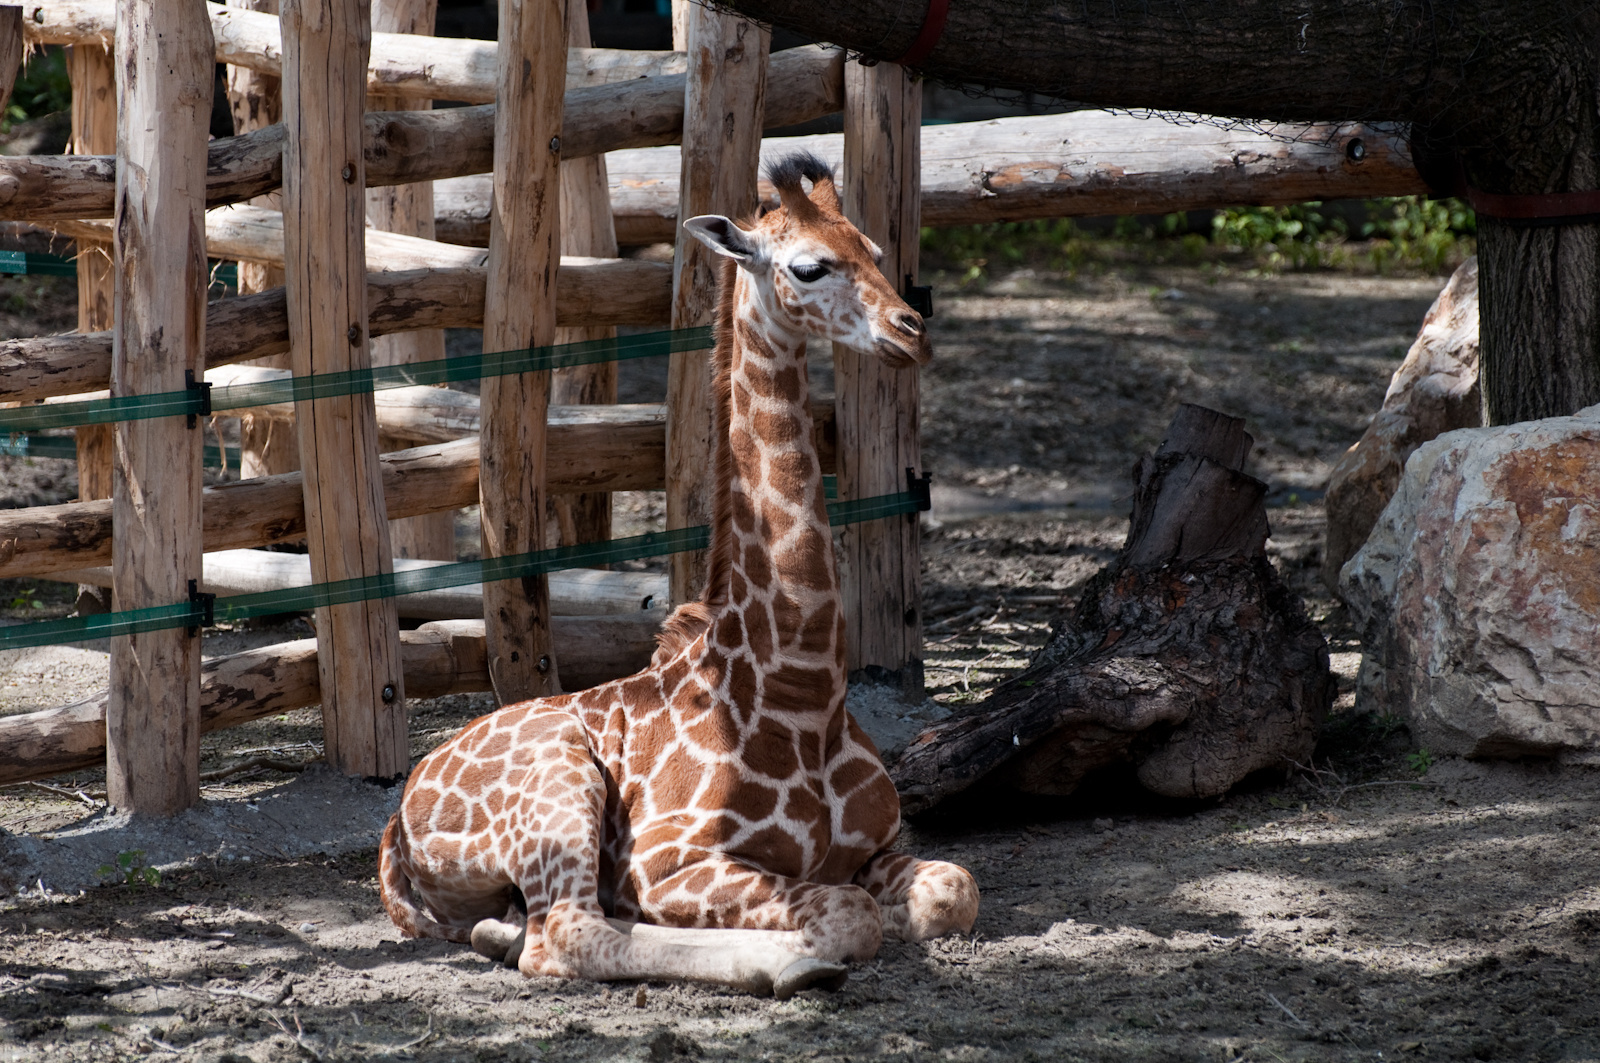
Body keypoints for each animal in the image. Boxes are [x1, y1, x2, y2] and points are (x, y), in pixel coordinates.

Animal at [377, 149, 972, 998]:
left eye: (875, 252)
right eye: (809, 265)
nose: (910, 332)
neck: (801, 692)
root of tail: (396, 827)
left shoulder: (878, 848)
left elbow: (955, 886)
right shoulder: (670, 863)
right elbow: (849, 915)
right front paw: (800, 945)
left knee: (540, 926)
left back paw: (500, 926)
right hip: (560, 785)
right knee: (565, 933)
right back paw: (780, 963)